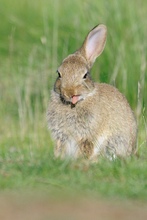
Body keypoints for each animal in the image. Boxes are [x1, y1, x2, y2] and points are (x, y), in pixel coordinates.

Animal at [47, 24, 137, 162]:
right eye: (59, 74)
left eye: (85, 75)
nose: (70, 92)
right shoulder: (61, 137)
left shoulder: (87, 136)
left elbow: (85, 148)